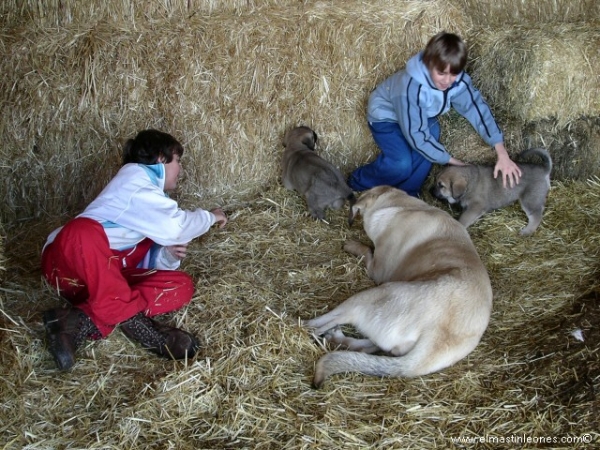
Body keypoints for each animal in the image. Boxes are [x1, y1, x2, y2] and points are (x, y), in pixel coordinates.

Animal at [304, 185, 492, 388]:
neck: (400, 205)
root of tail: (433, 341)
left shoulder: (378, 269)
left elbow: (367, 250)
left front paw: (353, 245)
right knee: (366, 347)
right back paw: (336, 337)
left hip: (372, 295)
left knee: (325, 322)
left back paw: (303, 324)